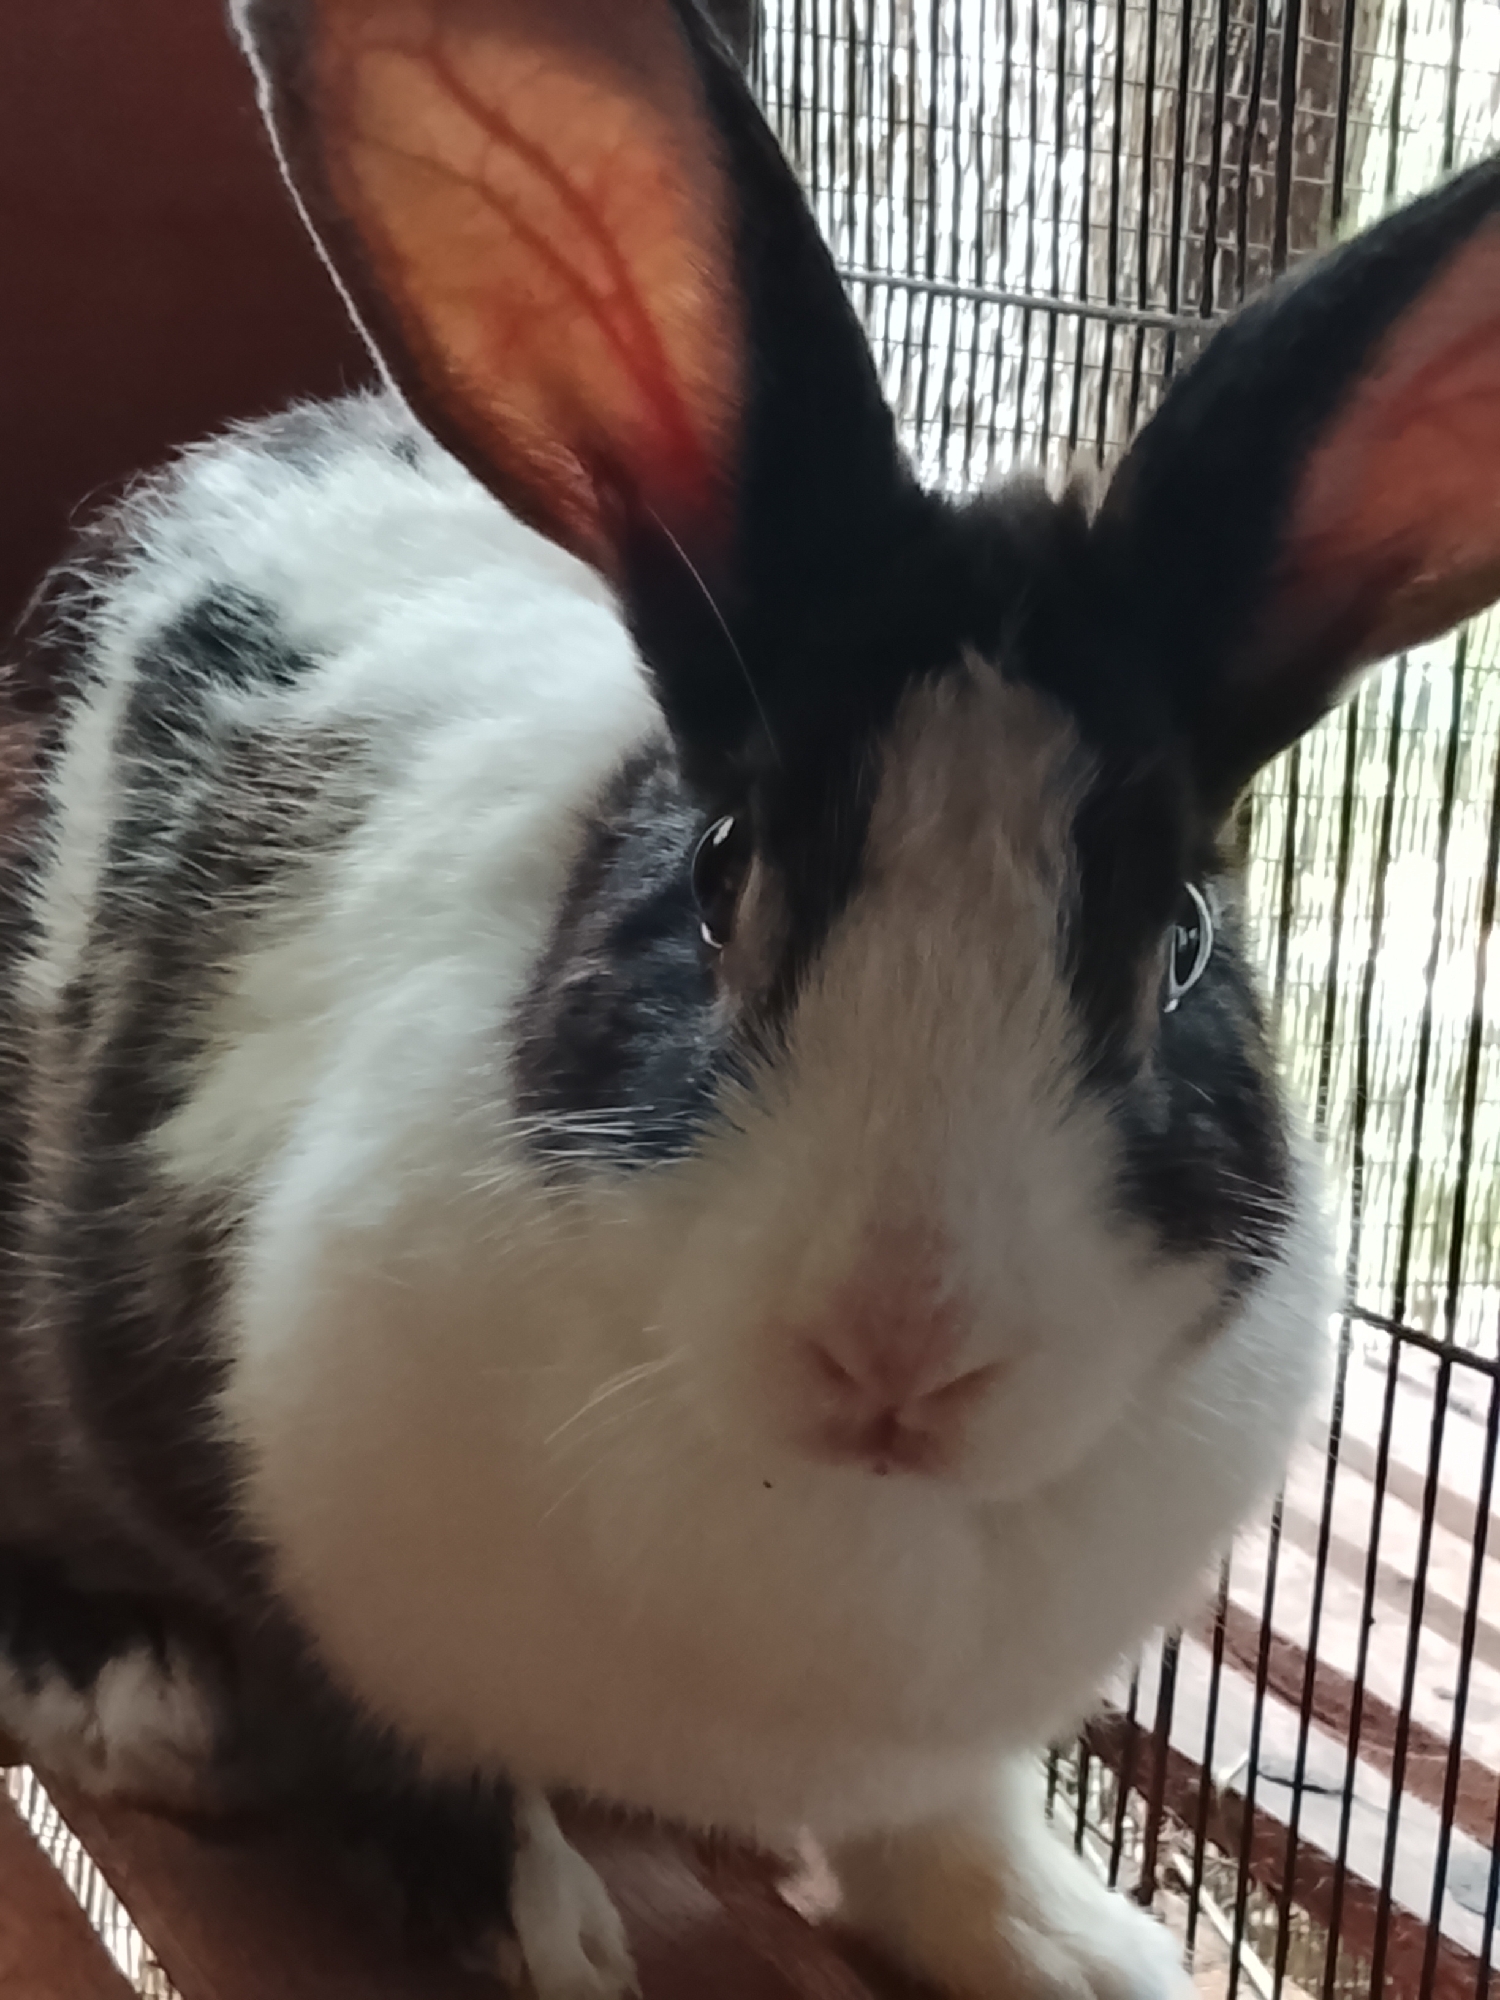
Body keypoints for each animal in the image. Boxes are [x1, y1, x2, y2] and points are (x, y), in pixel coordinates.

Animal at [1, 0, 1499, 1994]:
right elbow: (415, 1748)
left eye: (1182, 938)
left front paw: (1073, 1949)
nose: (903, 1348)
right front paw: (536, 1935)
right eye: (722, 873)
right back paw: (135, 1703)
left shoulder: (944, 1741)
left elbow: (942, 1828)